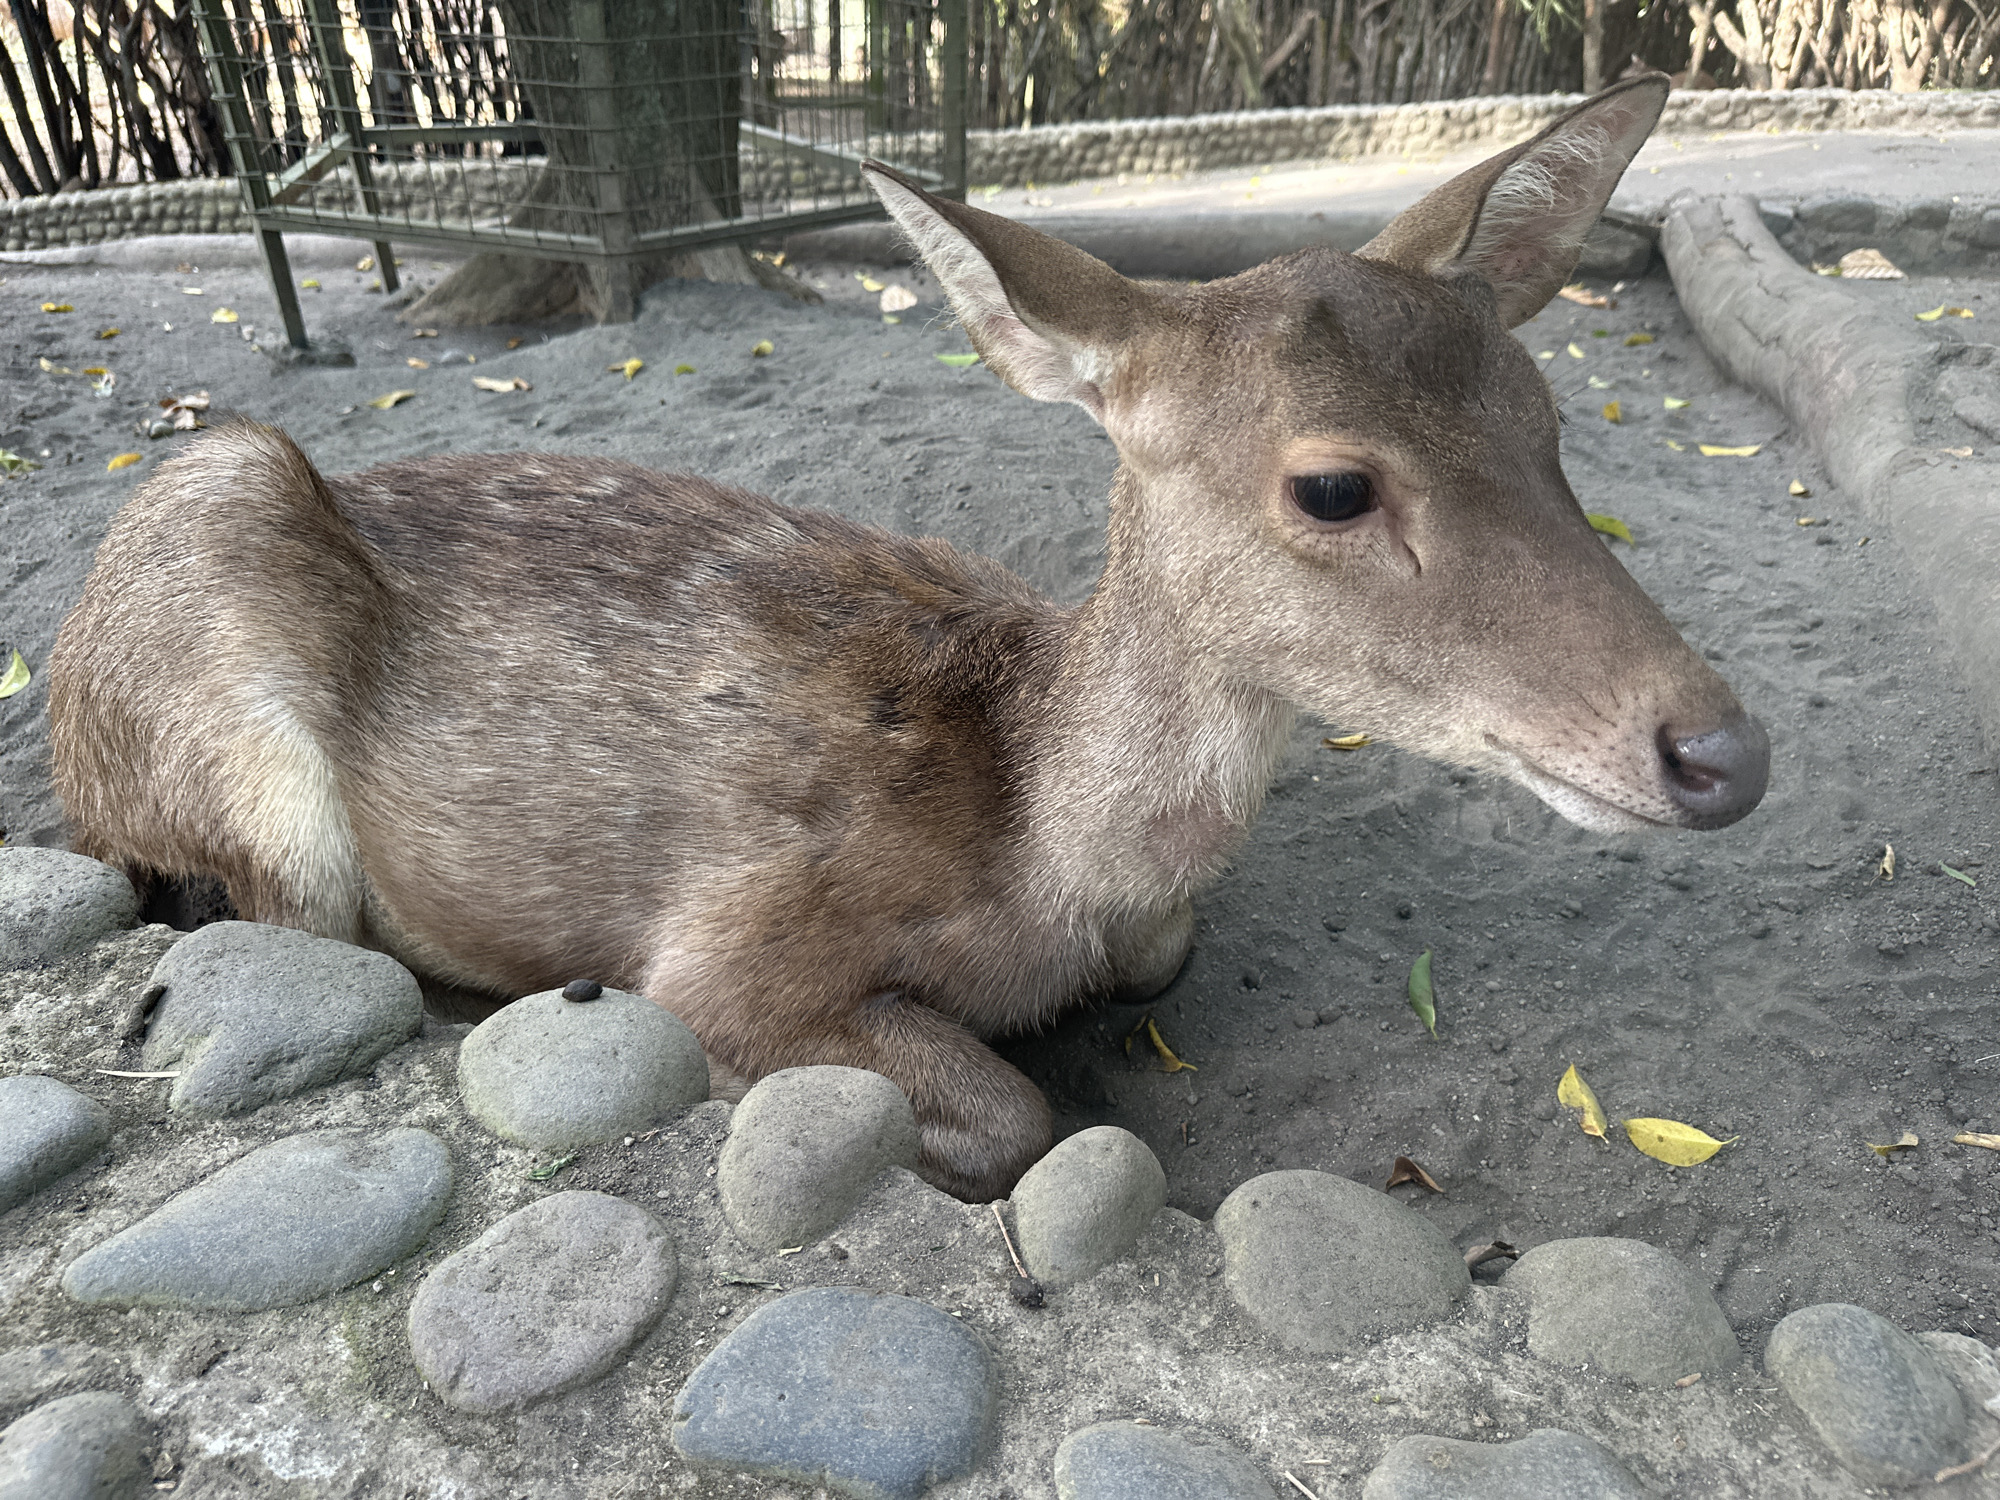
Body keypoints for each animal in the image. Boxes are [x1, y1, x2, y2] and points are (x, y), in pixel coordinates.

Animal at [49, 75, 1767, 1202]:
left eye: (1548, 425)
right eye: (1334, 484)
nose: (1720, 749)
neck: (1043, 864)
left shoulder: (1151, 932)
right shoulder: (732, 943)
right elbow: (1008, 1115)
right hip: (218, 603)